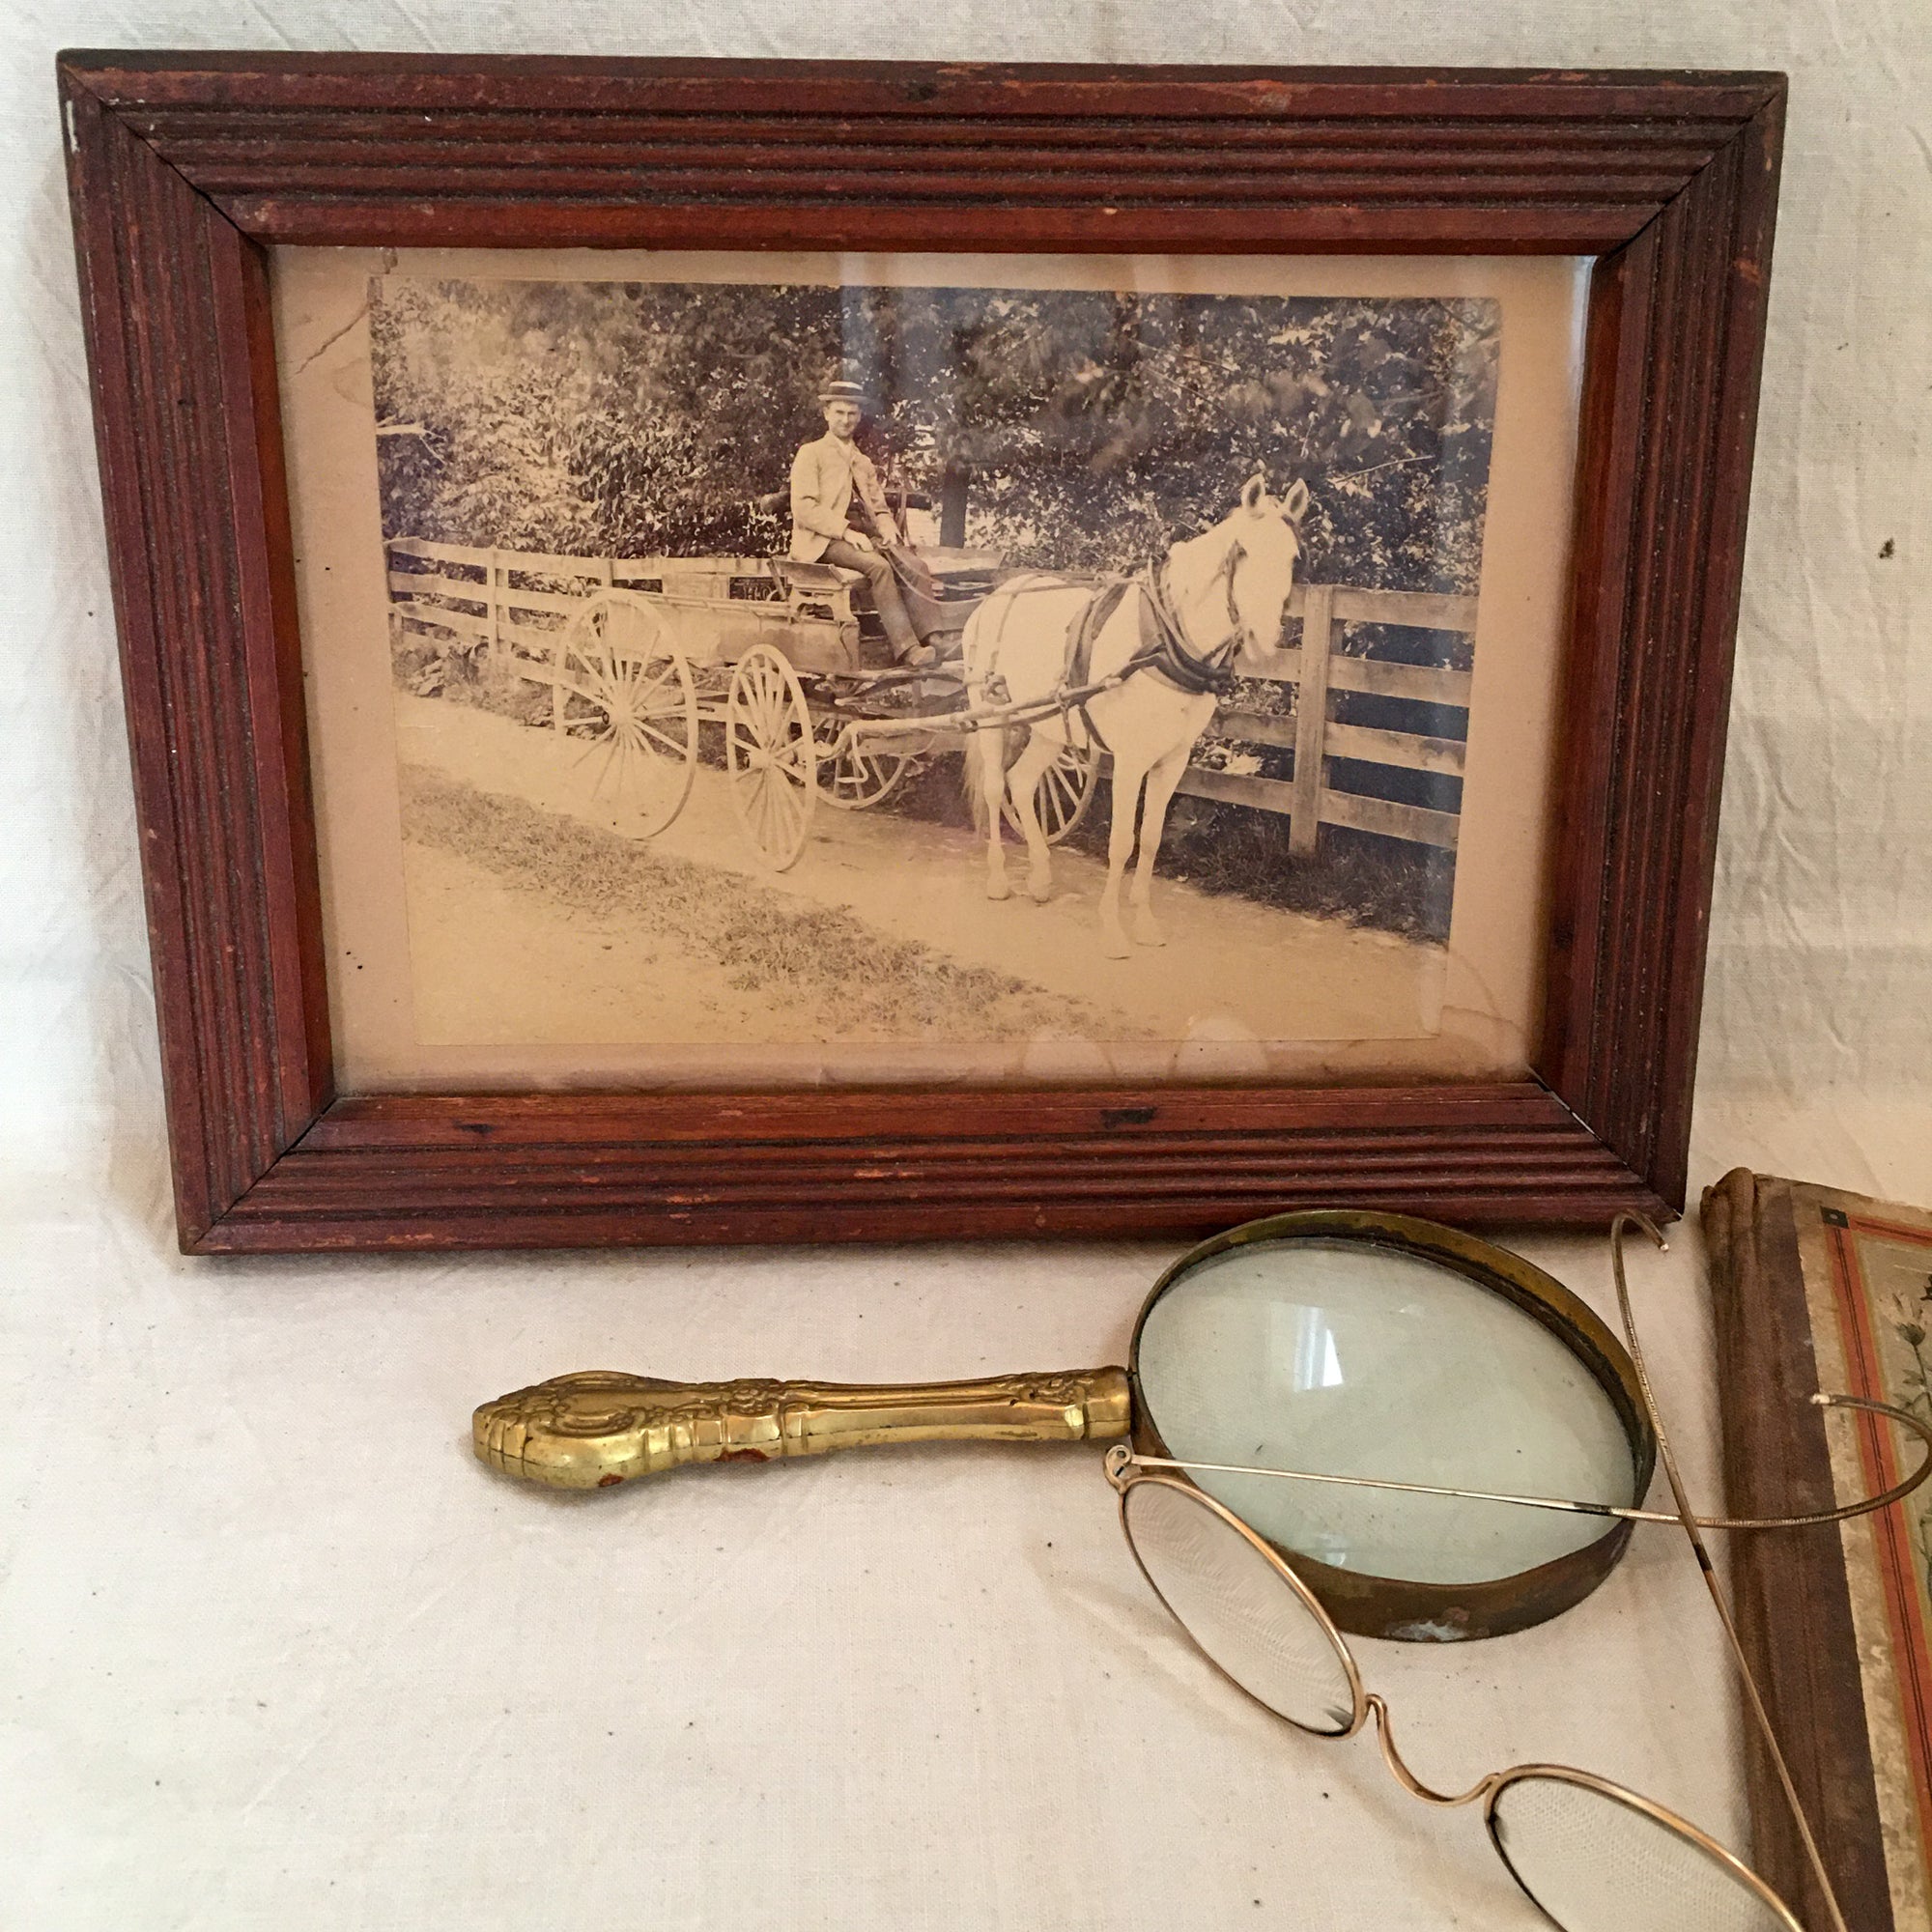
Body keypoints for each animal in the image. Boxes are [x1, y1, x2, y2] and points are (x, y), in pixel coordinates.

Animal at [966, 475, 1314, 958]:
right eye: (1241, 551)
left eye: (1293, 557)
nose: (1264, 640)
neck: (1164, 641)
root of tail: (997, 595)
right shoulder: (1131, 761)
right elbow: (1120, 843)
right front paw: (1113, 930)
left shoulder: (1173, 759)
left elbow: (1149, 840)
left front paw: (1145, 922)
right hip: (990, 714)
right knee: (996, 788)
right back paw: (1000, 879)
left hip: (1049, 727)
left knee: (1022, 782)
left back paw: (1039, 877)